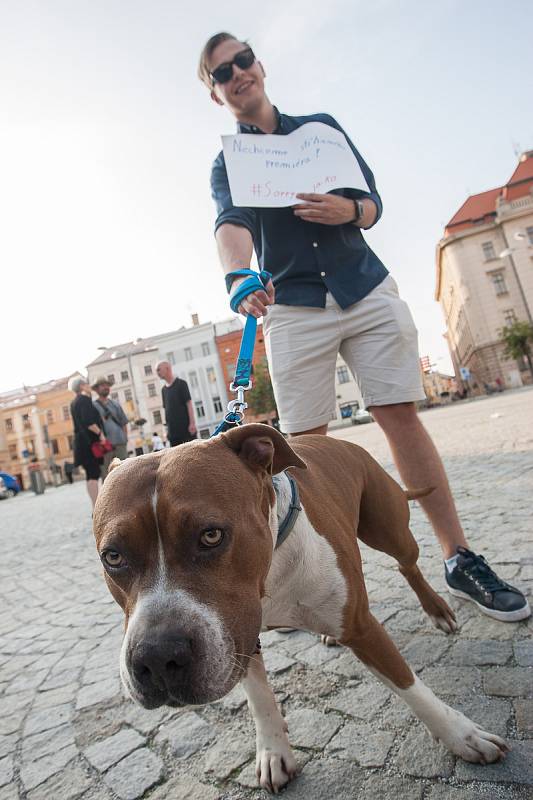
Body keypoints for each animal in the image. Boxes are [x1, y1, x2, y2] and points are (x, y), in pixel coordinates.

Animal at [92, 422, 508, 792]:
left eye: (211, 535)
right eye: (113, 556)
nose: (157, 658)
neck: (270, 574)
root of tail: (344, 443)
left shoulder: (362, 626)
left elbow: (411, 687)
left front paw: (462, 735)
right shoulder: (237, 635)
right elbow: (260, 699)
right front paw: (274, 752)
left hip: (391, 531)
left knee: (408, 565)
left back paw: (437, 609)